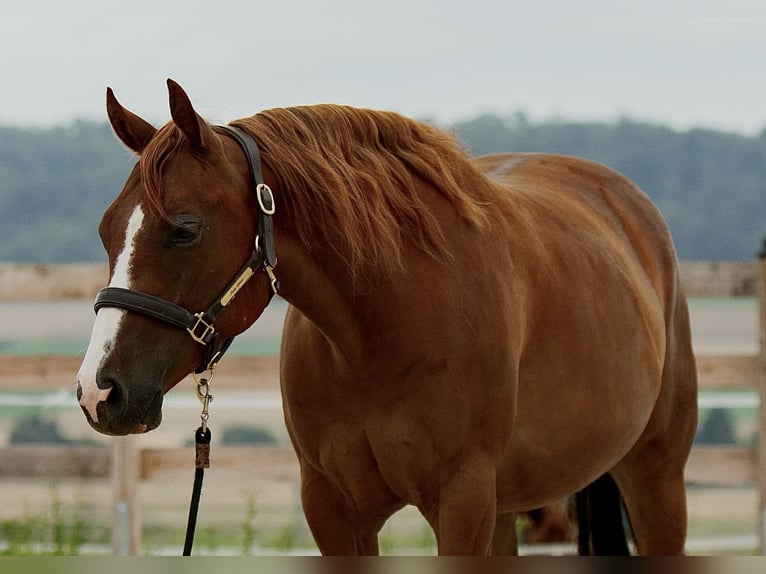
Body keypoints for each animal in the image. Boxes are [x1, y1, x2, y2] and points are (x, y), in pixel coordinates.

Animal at [77, 79, 698, 555]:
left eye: (185, 229)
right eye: (106, 230)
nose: (97, 391)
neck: (380, 331)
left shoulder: (462, 502)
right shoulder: (332, 508)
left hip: (655, 479)